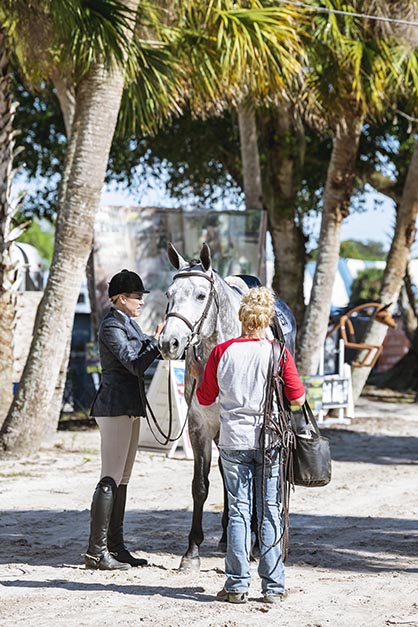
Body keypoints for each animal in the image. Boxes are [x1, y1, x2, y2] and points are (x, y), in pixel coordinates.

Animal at [158, 242, 296, 576]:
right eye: (169, 293)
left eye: (200, 295)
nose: (169, 343)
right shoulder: (200, 426)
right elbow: (201, 485)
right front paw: (192, 551)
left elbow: (256, 481)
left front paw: (256, 545)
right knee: (226, 473)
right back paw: (225, 536)